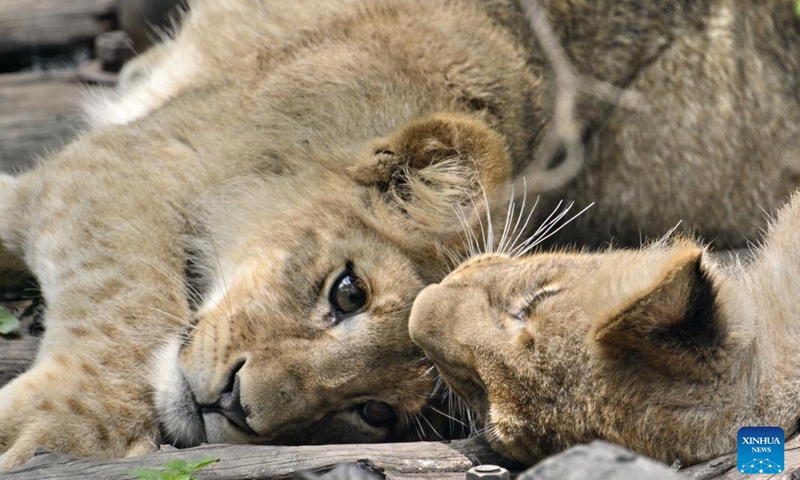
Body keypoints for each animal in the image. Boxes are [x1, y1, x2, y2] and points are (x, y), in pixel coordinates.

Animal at [0, 0, 799, 469]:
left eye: (375, 412)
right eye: (348, 292)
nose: (233, 405)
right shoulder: (123, 165)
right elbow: (126, 302)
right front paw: (42, 434)